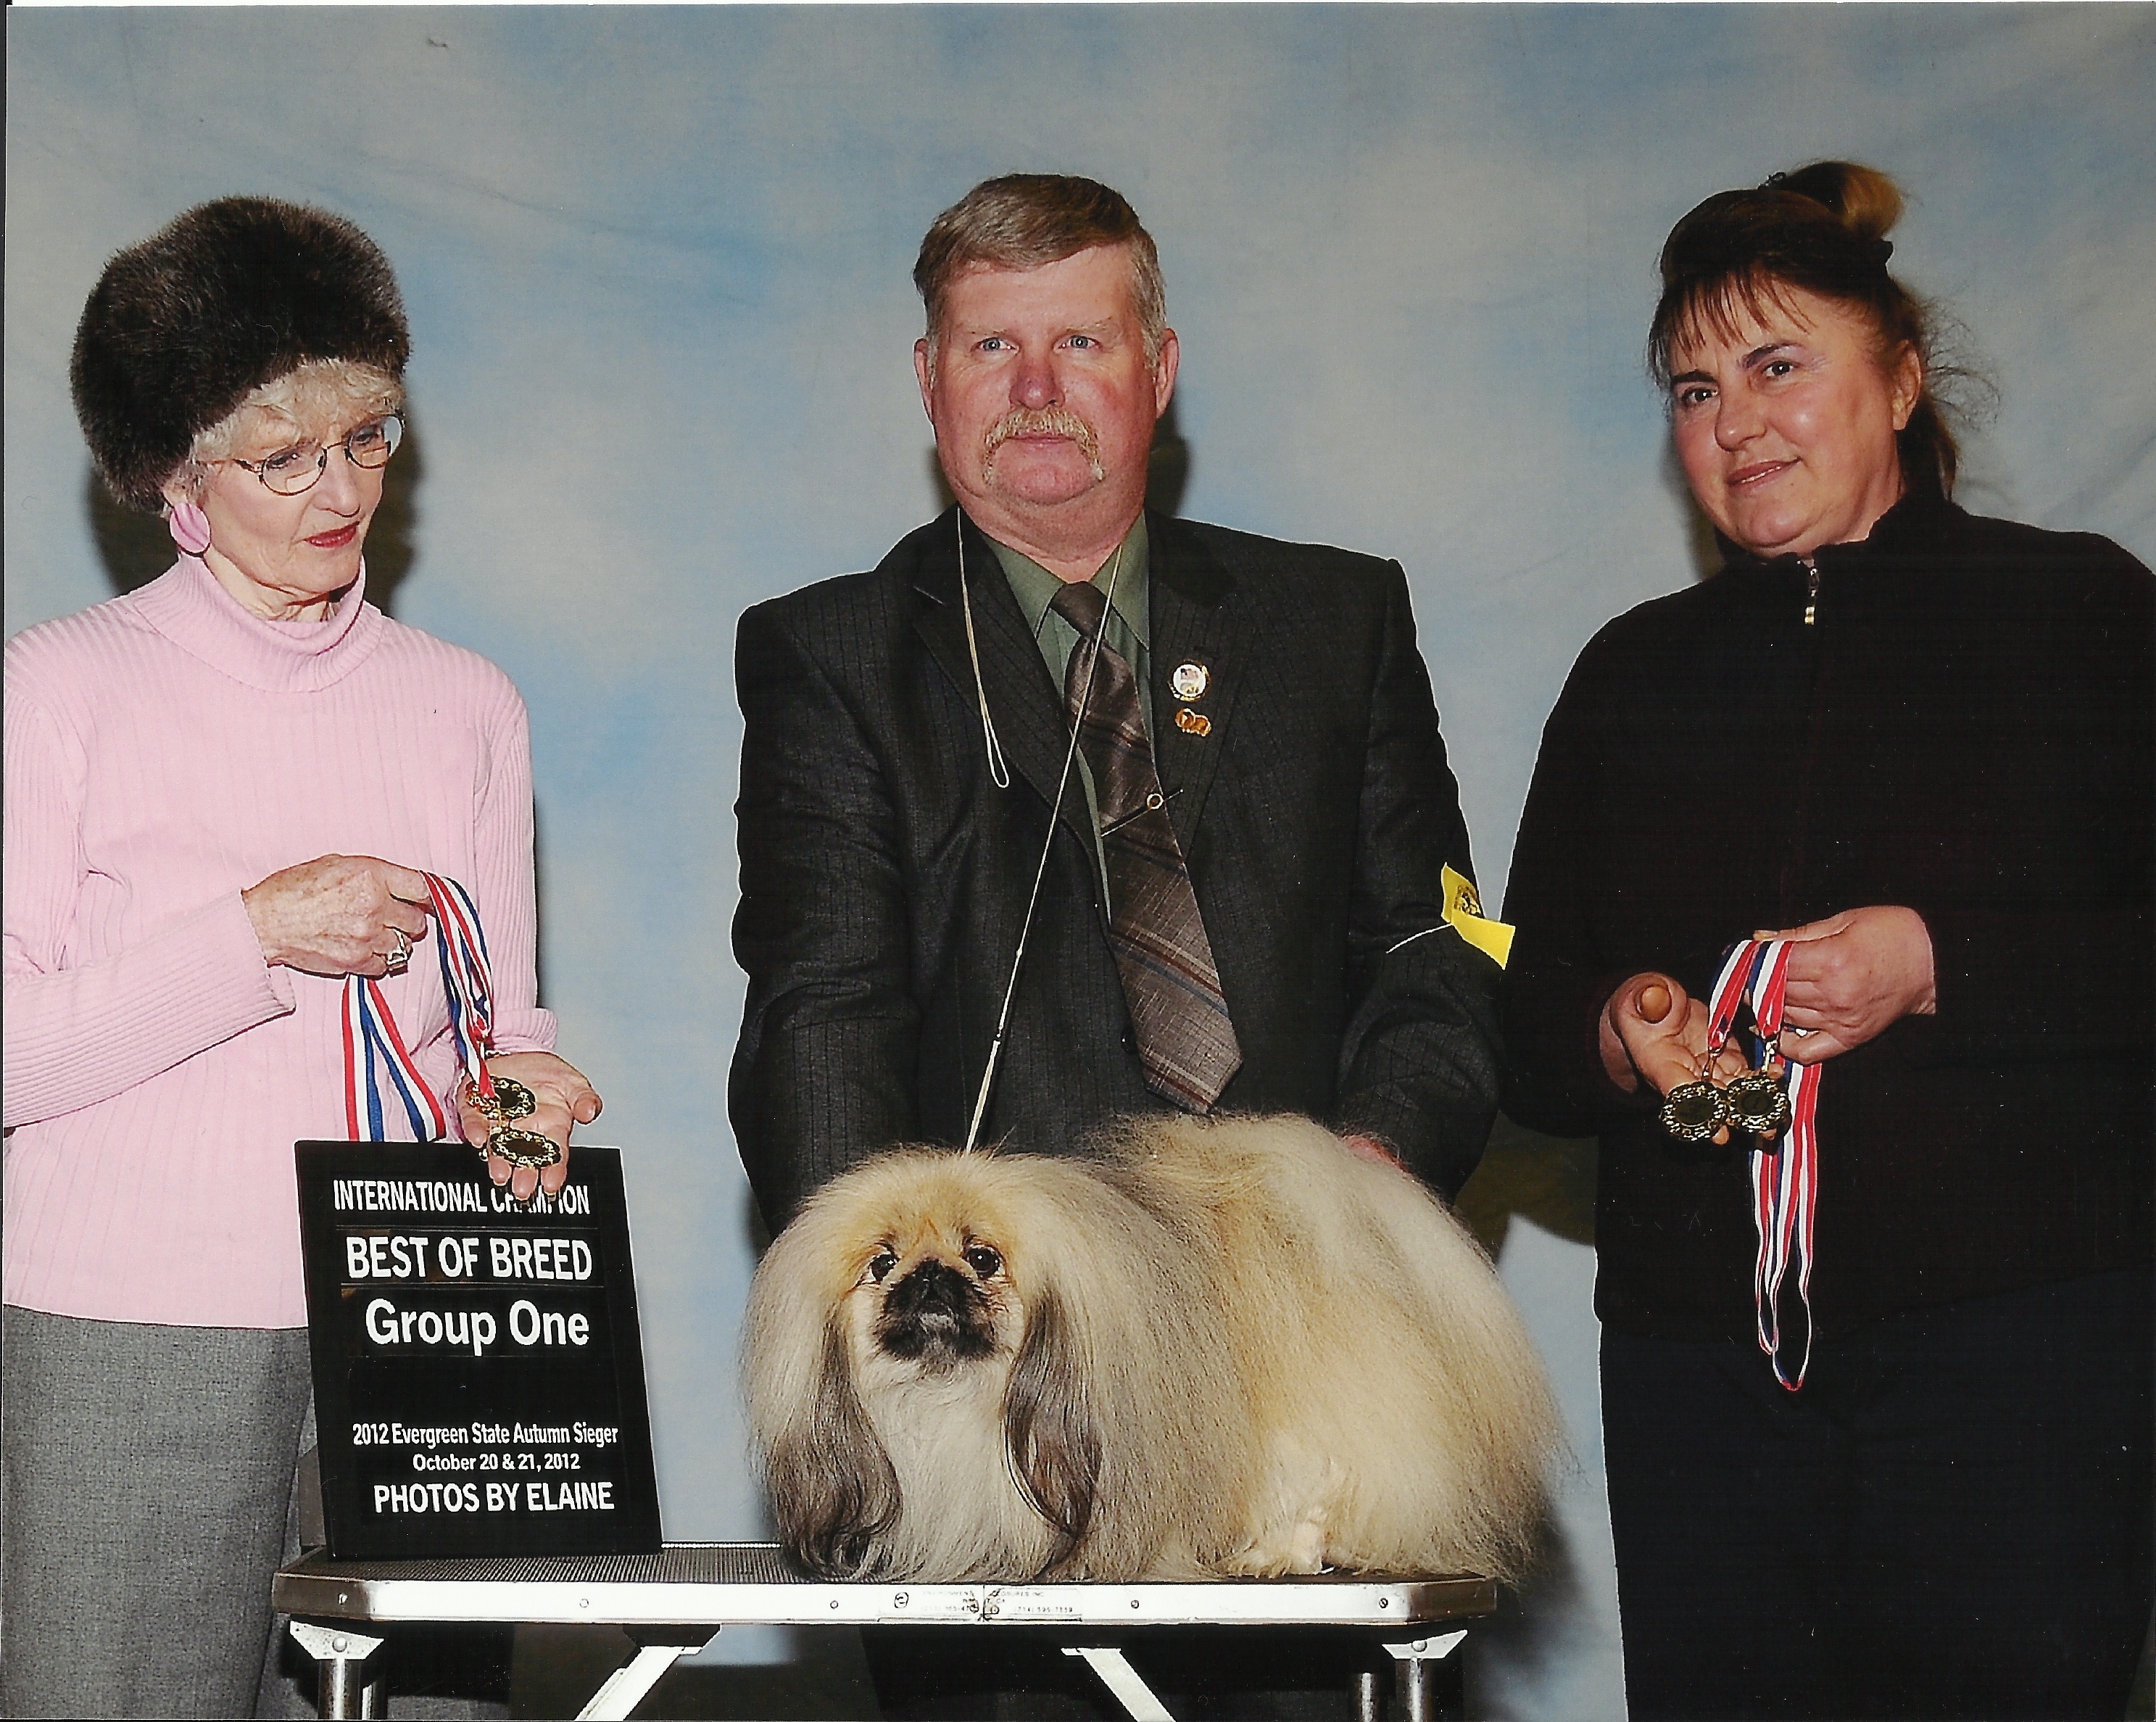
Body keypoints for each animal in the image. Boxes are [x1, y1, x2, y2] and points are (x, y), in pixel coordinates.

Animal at [743, 1112, 1560, 1585]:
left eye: (982, 1258)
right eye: (883, 1264)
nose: (929, 1278)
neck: (954, 1395)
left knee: (1320, 1483)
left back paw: (1275, 1557)